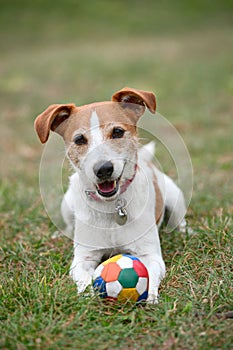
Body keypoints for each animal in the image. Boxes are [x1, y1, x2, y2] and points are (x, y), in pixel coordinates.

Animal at [34, 87, 187, 304]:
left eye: (117, 132)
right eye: (79, 139)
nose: (103, 169)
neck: (112, 206)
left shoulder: (150, 255)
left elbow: (150, 276)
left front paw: (150, 298)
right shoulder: (83, 258)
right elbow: (85, 280)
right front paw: (89, 297)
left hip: (176, 198)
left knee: (180, 220)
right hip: (67, 203)